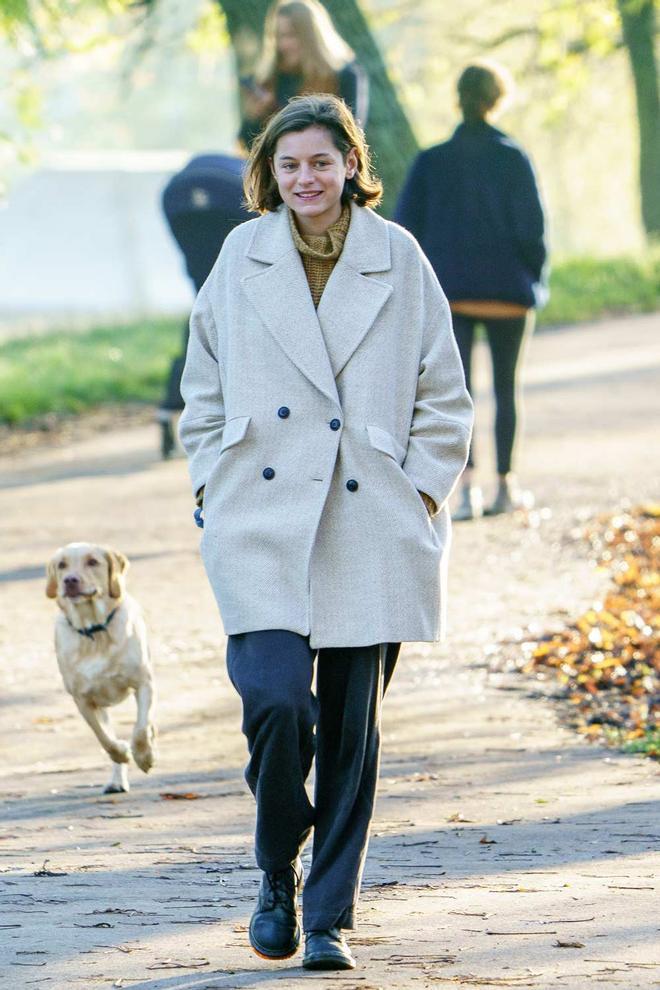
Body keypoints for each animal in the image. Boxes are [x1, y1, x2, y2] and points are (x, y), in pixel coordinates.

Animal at [45, 548, 157, 796]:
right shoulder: (83, 700)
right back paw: (116, 780)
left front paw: (144, 756)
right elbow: (104, 738)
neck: (94, 631)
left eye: (92, 562)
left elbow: (140, 729)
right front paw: (122, 752)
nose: (70, 581)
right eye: (62, 565)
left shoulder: (143, 683)